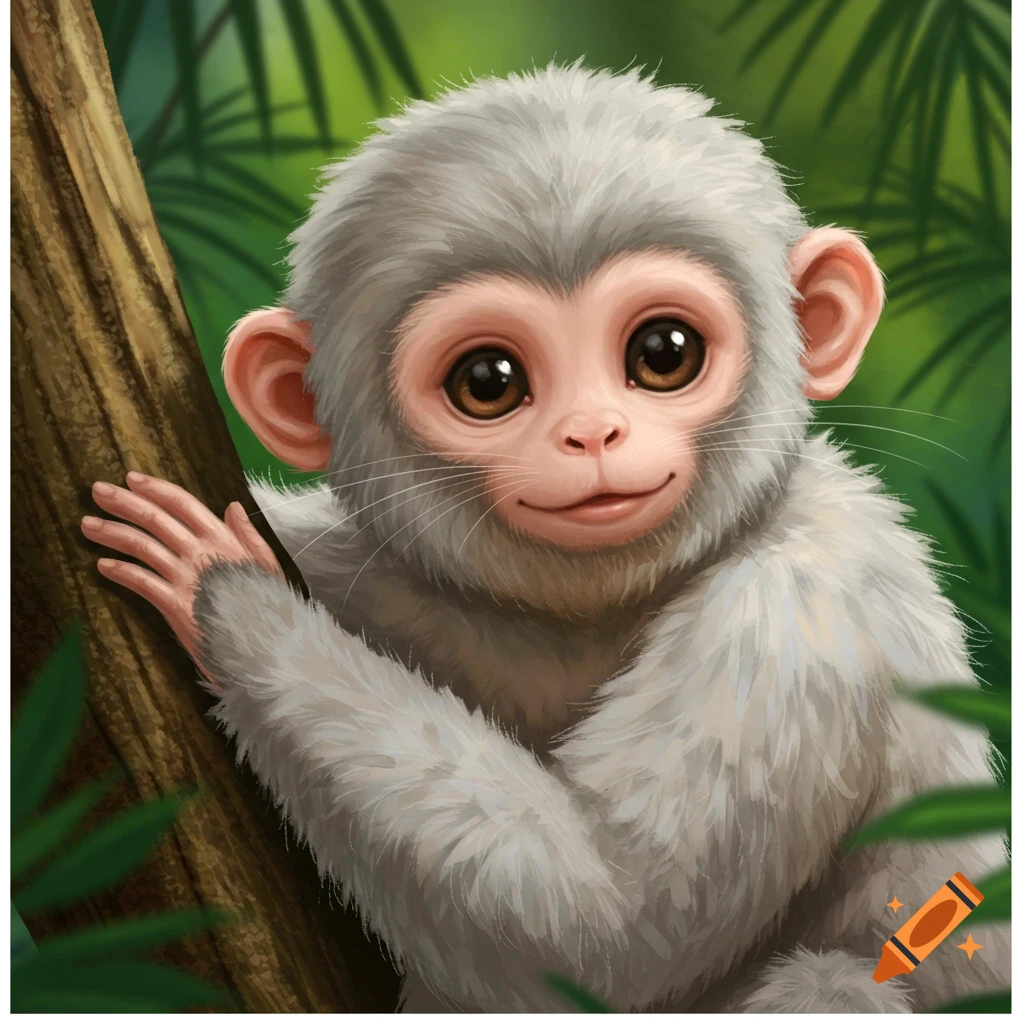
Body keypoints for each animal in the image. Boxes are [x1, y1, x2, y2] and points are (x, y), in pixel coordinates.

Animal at [80, 64, 1009, 1012]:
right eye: (489, 381)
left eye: (663, 353)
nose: (591, 432)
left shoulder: (799, 614)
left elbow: (609, 921)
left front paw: (221, 590)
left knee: (826, 982)